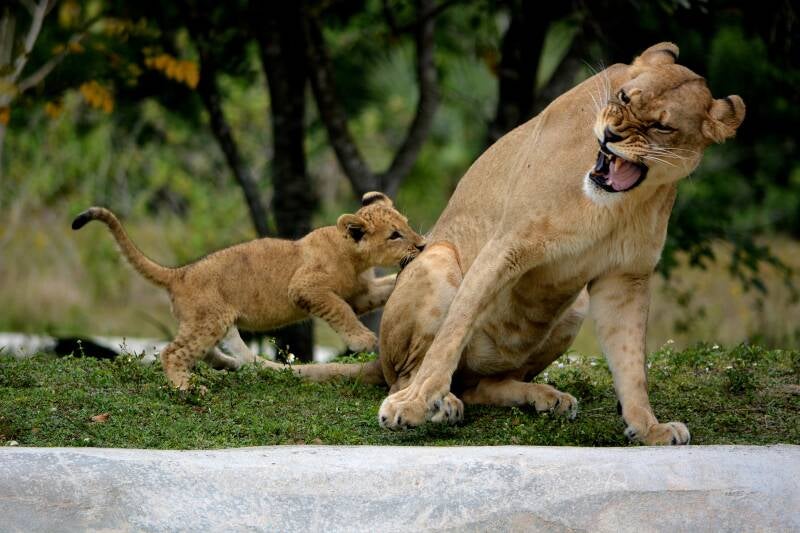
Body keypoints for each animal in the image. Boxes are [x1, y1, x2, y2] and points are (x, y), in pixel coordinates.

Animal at [71, 191, 425, 389]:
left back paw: (229, 366)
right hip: (209, 320)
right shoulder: (304, 287)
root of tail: (179, 273)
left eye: (407, 224)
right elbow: (340, 310)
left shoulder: (361, 293)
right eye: (394, 235)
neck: (354, 257)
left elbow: (377, 292)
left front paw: (404, 281)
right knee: (171, 352)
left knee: (202, 351)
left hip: (210, 324)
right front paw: (362, 340)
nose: (422, 244)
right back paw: (187, 390)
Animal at [286, 43, 745, 445]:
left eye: (662, 126)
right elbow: (453, 331)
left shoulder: (626, 277)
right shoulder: (507, 244)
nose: (610, 134)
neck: (617, 204)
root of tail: (376, 360)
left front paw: (649, 428)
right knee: (409, 373)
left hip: (573, 308)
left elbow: (631, 363)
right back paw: (436, 402)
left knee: (479, 385)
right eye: (623, 97)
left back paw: (543, 398)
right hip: (437, 259)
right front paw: (410, 407)